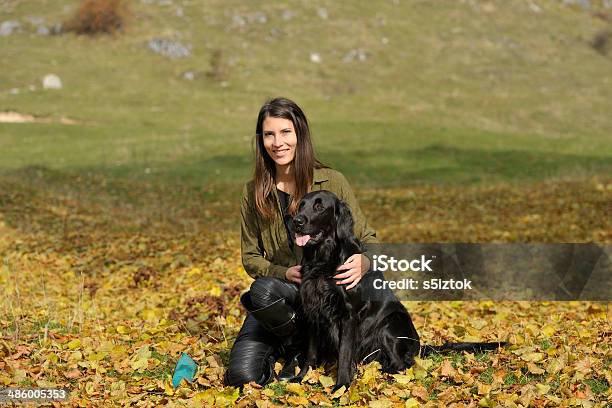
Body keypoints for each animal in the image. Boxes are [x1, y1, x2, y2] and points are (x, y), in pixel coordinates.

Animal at [290, 191, 504, 392]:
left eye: (319, 207)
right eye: (301, 205)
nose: (296, 221)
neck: (323, 259)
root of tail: (419, 346)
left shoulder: (348, 314)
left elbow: (344, 353)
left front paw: (341, 386)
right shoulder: (312, 309)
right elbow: (310, 353)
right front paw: (301, 377)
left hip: (391, 324)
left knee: (403, 364)